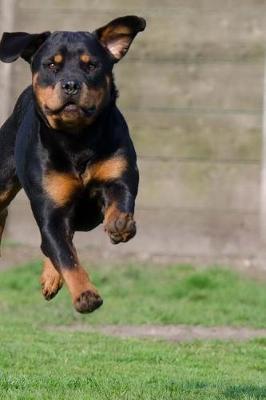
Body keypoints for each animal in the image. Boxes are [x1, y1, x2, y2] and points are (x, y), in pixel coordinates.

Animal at [0, 15, 145, 314]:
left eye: (91, 65)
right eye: (51, 65)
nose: (70, 84)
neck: (77, 139)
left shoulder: (119, 174)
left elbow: (121, 197)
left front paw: (119, 223)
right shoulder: (51, 208)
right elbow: (65, 255)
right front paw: (85, 295)